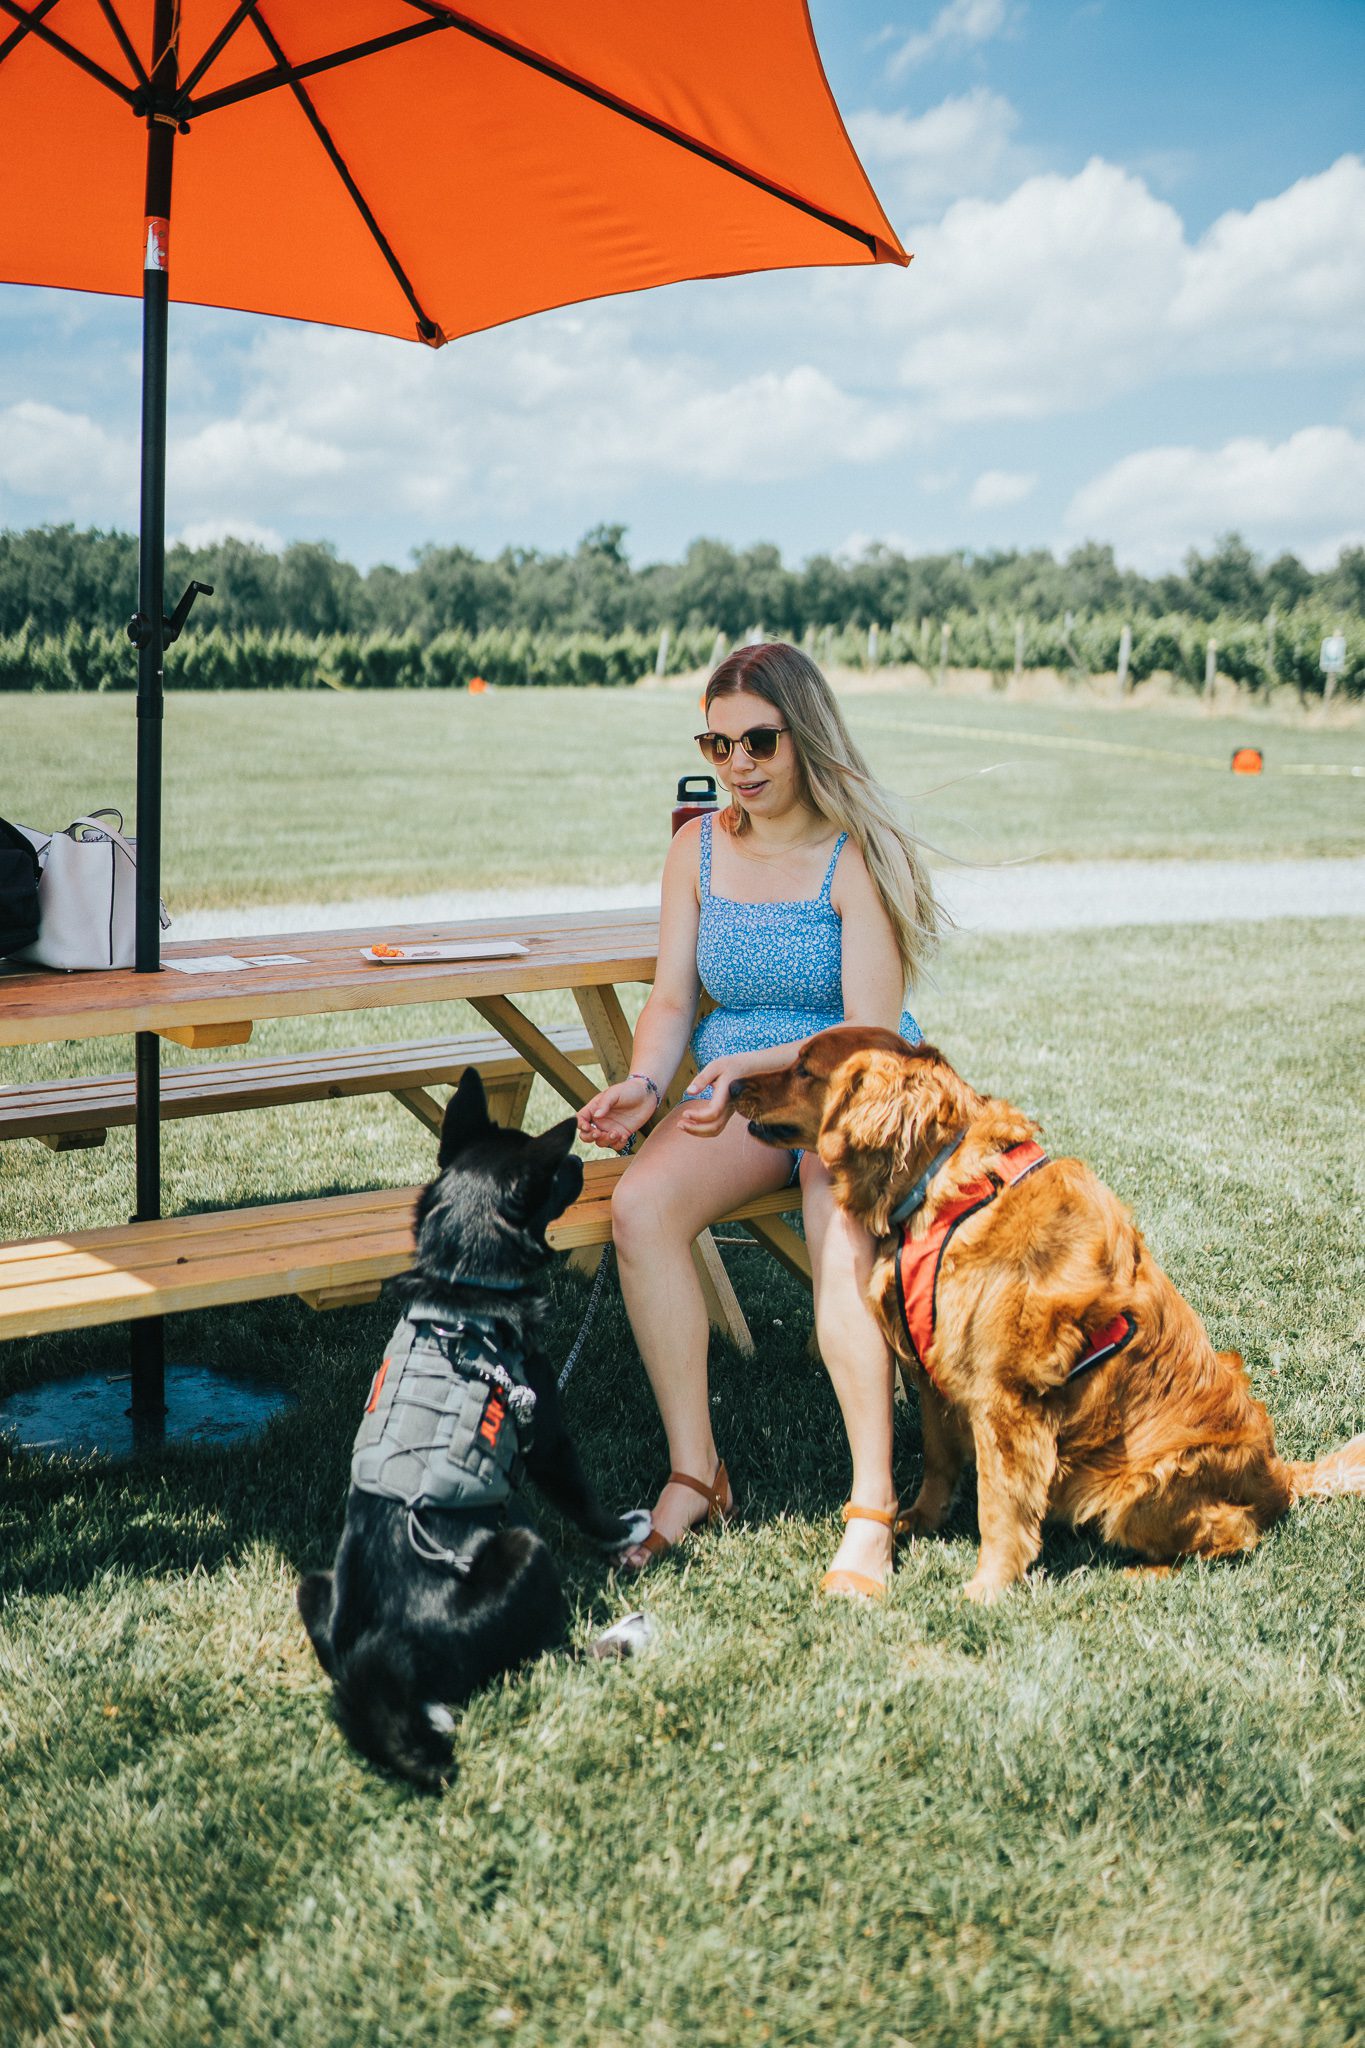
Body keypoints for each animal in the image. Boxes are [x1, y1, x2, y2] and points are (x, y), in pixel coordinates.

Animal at [294, 1073, 634, 1794]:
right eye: (555, 1172)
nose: (580, 1158)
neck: (461, 1281)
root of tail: (386, 1659)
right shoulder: (546, 1433)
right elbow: (581, 1496)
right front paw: (625, 1530)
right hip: (527, 1549)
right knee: (546, 1657)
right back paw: (623, 1635)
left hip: (314, 1582)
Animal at [736, 1024, 1365, 1597]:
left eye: (803, 1068)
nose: (735, 1081)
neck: (950, 1189)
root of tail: (1279, 1475)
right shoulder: (936, 1376)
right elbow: (939, 1461)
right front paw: (919, 1521)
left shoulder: (1008, 1401)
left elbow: (1000, 1506)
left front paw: (988, 1588)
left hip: (1139, 1486)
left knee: (1235, 1535)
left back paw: (1145, 1572)